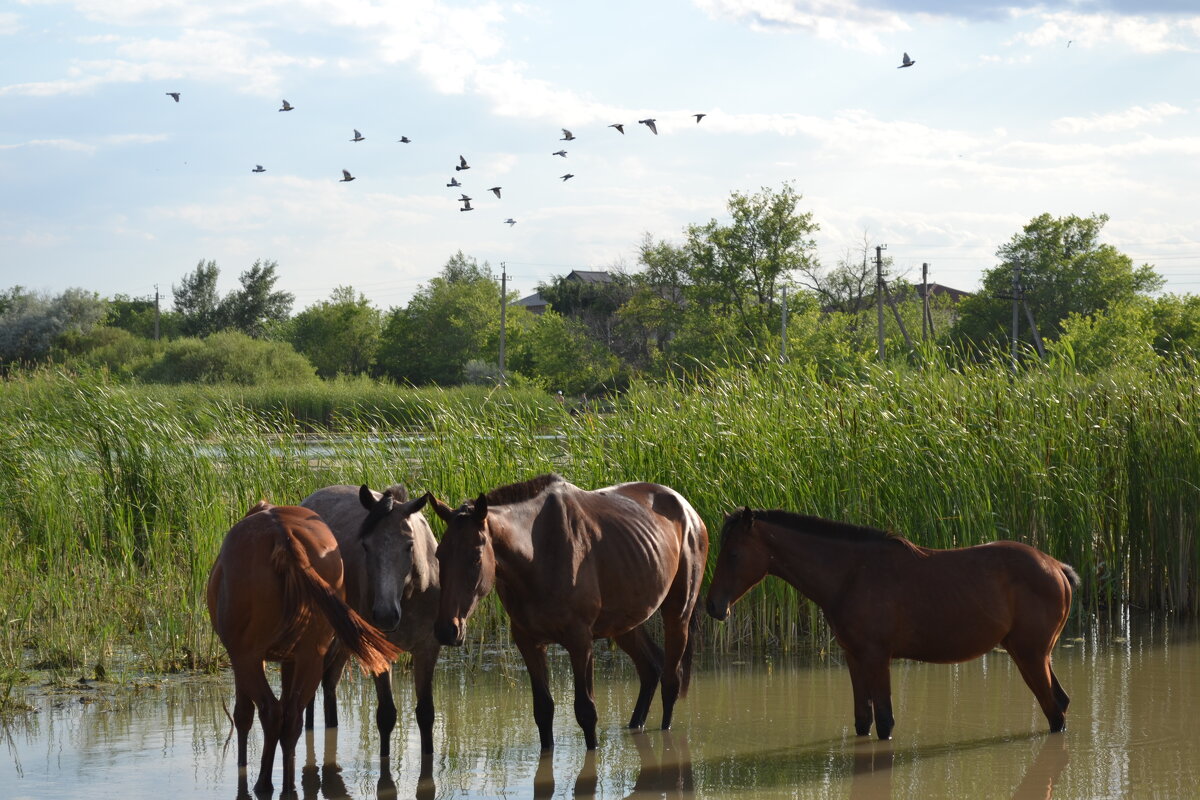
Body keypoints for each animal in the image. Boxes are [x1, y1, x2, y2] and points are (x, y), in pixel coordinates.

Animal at [204, 501, 396, 796]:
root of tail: (283, 536)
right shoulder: (291, 659)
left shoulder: (244, 659)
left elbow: (243, 715)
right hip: (311, 654)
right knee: (291, 715)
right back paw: (288, 784)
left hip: (247, 656)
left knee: (270, 712)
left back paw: (263, 783)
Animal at [302, 484, 444, 762]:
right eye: (366, 546)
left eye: (409, 545)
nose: (386, 615)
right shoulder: (379, 650)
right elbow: (386, 715)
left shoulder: (427, 648)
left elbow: (426, 714)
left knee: (329, 680)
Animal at [432, 474, 705, 753]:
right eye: (439, 554)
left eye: (476, 556)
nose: (447, 629)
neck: (537, 555)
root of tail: (687, 509)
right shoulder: (528, 641)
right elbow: (543, 711)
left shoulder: (579, 640)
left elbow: (586, 712)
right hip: (625, 624)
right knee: (651, 668)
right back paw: (635, 725)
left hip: (678, 612)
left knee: (671, 681)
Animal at [700, 510, 1080, 743]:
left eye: (733, 554)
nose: (713, 606)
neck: (851, 574)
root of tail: (1055, 567)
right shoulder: (854, 658)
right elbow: (862, 720)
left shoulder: (877, 657)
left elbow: (884, 721)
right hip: (1032, 653)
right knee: (1060, 702)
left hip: (1030, 654)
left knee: (1053, 707)